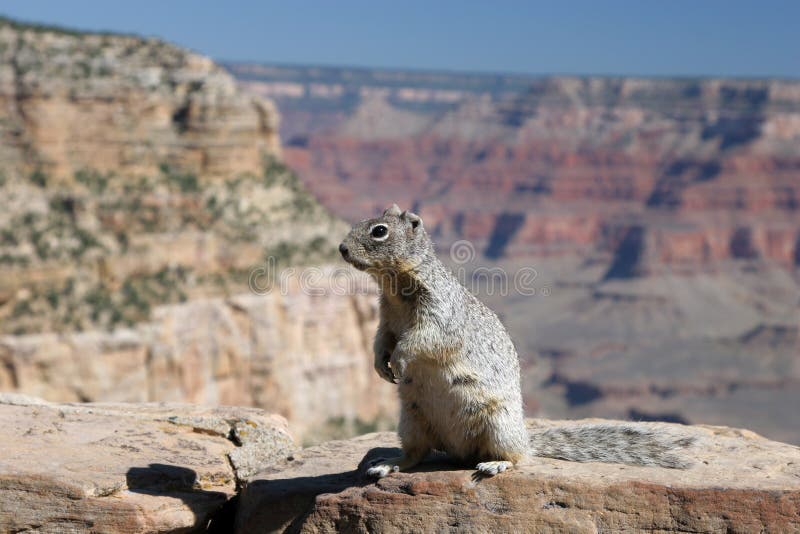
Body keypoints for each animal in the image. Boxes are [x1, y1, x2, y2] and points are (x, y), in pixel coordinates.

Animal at [338, 206, 692, 482]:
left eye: (379, 231)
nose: (341, 248)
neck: (394, 286)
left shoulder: (440, 313)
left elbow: (424, 338)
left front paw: (399, 359)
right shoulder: (386, 317)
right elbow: (381, 338)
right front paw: (380, 365)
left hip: (498, 423)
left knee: (519, 457)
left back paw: (495, 464)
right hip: (411, 420)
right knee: (416, 453)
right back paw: (388, 463)